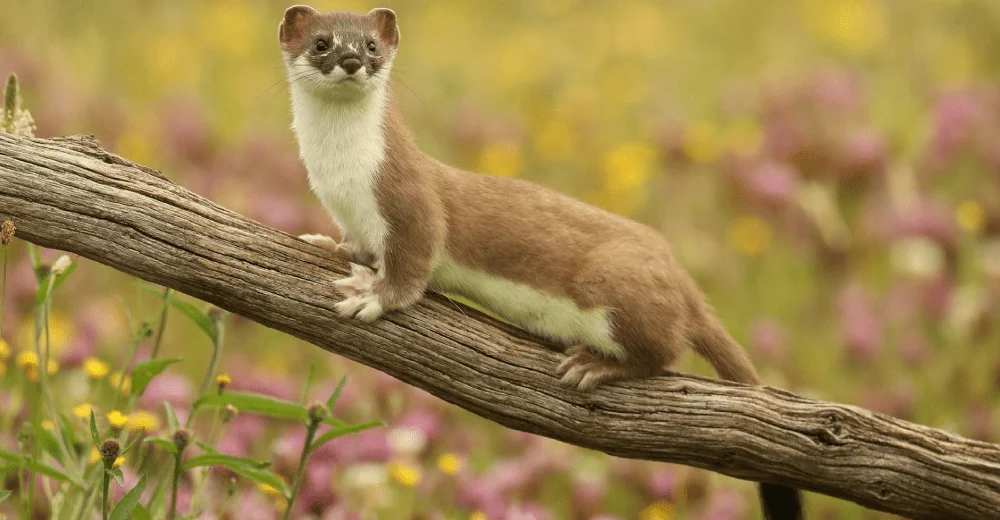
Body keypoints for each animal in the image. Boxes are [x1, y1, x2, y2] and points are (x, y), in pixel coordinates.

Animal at [282, 7, 804, 520]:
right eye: (322, 43)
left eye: (371, 45)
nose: (352, 60)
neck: (342, 183)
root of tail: (676, 272)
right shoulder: (354, 220)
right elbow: (355, 246)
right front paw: (327, 245)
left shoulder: (413, 204)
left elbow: (412, 266)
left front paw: (371, 295)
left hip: (612, 283)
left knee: (664, 352)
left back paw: (594, 364)